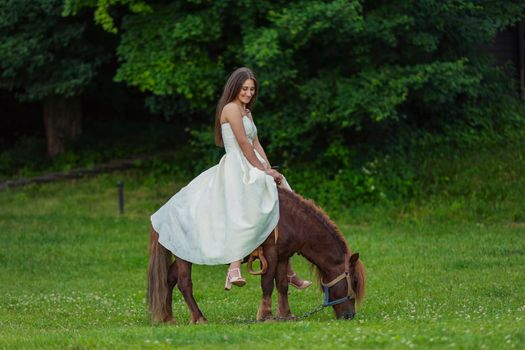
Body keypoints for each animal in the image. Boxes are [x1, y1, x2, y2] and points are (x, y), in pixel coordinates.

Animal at [147, 187, 364, 324]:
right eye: (353, 281)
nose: (349, 316)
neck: (291, 220)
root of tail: (164, 212)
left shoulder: (283, 256)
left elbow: (282, 285)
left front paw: (286, 315)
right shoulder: (270, 254)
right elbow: (267, 283)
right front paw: (266, 315)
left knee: (169, 278)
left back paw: (168, 317)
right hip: (185, 257)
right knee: (184, 283)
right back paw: (199, 318)